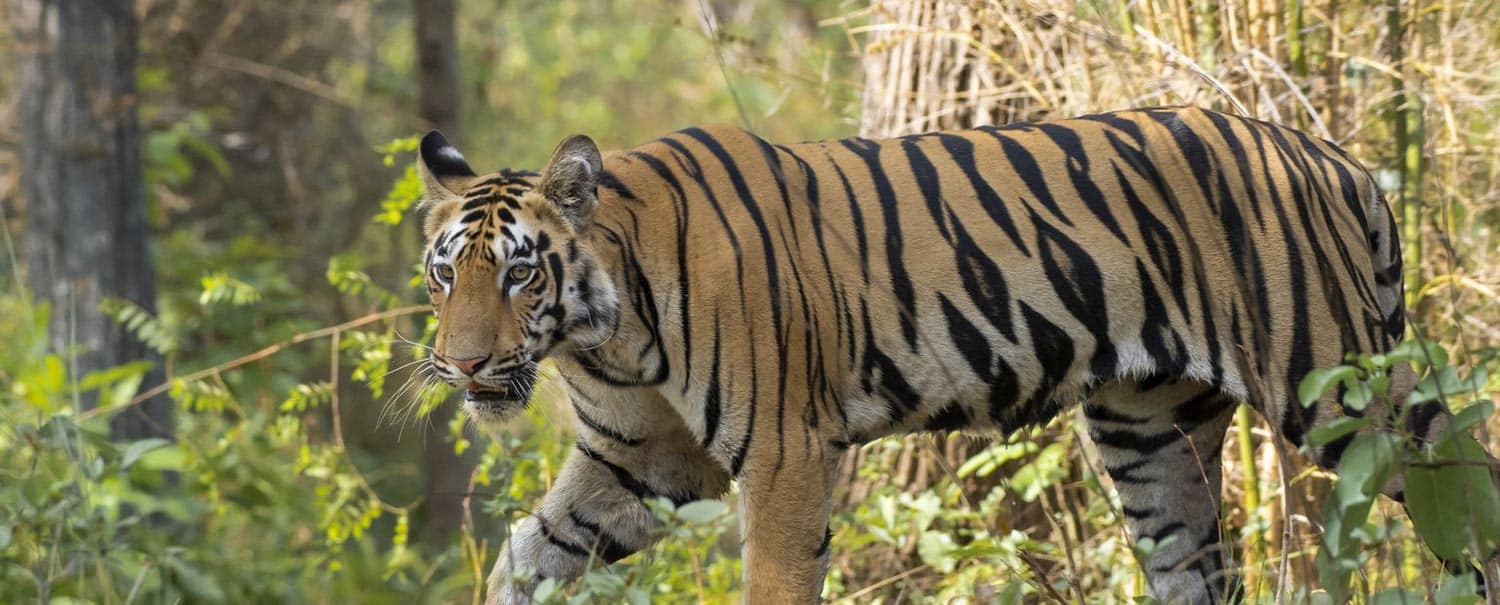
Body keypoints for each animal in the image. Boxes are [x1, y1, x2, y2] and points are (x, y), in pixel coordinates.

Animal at [413, 106, 1488, 604]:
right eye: (443, 274)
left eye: (519, 275)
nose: (461, 367)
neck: (605, 338)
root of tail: (1339, 161)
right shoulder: (637, 464)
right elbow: (527, 555)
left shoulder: (785, 453)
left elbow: (774, 577)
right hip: (1149, 437)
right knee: (1198, 568)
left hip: (1343, 387)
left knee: (1466, 487)